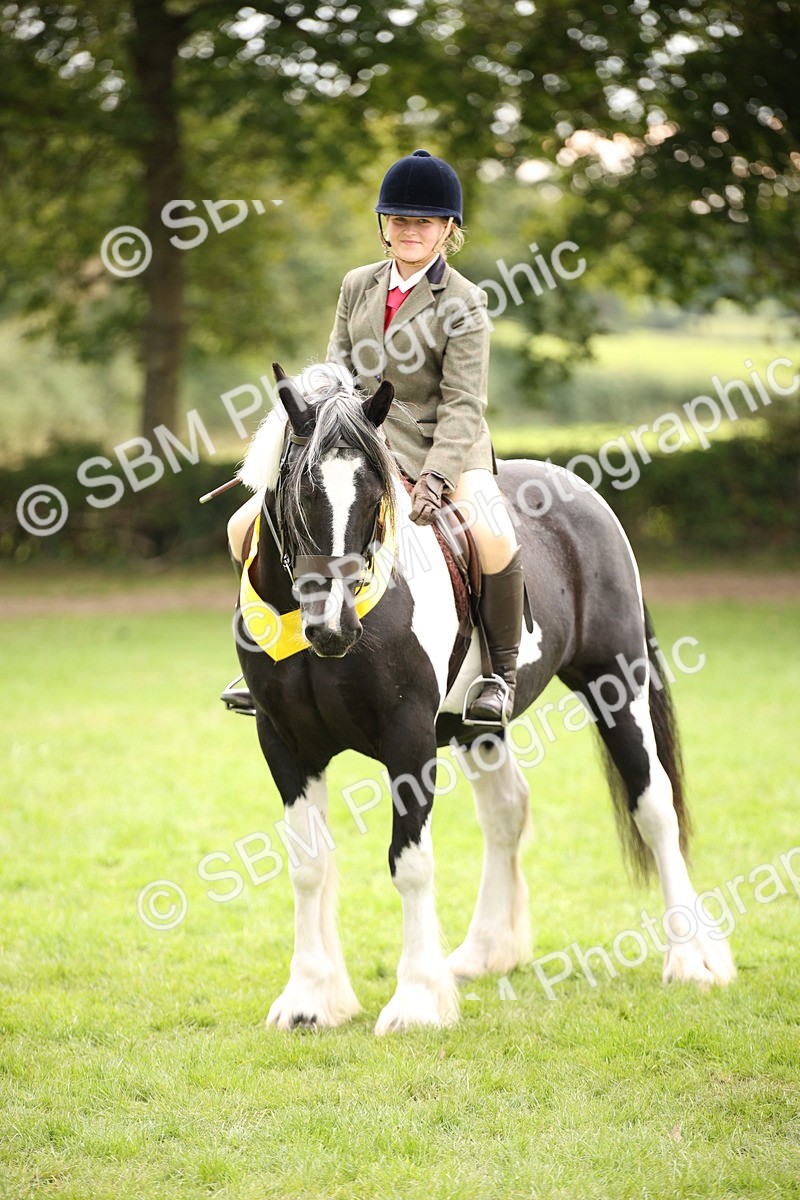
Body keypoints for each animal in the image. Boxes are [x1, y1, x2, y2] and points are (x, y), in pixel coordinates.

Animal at [231, 361, 736, 1034]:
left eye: (376, 494)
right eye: (300, 487)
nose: (333, 626)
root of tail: (579, 490)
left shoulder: (409, 739)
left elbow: (410, 862)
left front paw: (417, 1001)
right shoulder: (286, 741)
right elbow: (308, 866)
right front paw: (310, 999)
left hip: (616, 685)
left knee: (654, 808)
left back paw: (690, 961)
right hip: (477, 725)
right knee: (506, 811)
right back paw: (485, 951)